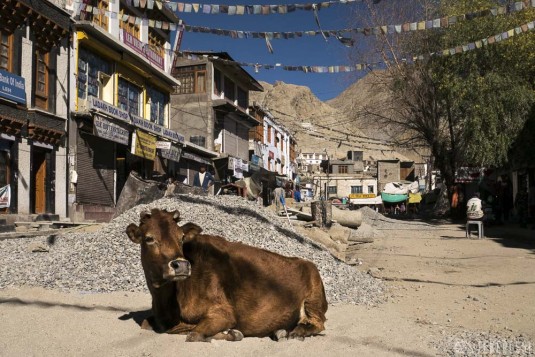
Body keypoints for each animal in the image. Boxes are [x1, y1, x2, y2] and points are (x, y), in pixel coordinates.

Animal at [126, 209, 326, 342]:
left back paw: (297, 332)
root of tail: (304, 261)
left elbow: (194, 333)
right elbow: (145, 323)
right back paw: (280, 331)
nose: (181, 265)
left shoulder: (224, 313)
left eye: (181, 237)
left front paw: (231, 332)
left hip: (314, 296)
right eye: (149, 238)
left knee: (319, 323)